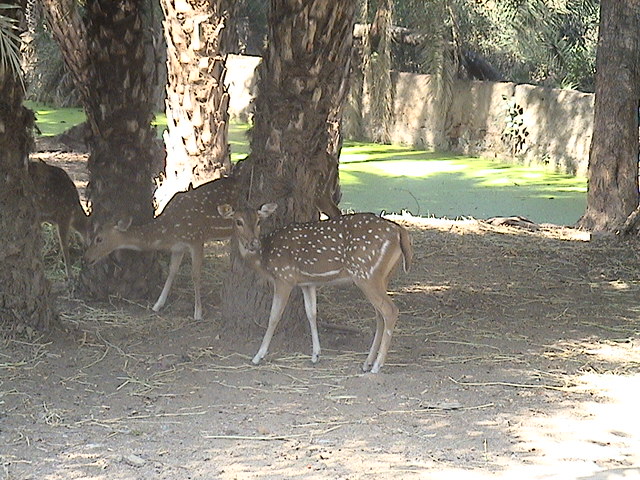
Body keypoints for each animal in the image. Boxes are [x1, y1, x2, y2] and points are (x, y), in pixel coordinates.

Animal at [82, 176, 238, 318]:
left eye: (99, 238)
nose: (87, 258)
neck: (168, 232)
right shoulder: (178, 247)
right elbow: (172, 271)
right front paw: (157, 305)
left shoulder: (196, 238)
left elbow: (195, 275)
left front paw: (198, 313)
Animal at [218, 202, 412, 376]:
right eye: (238, 221)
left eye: (258, 221)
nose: (253, 243)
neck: (265, 259)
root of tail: (399, 231)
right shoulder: (307, 283)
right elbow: (311, 313)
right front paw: (316, 355)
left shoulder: (284, 277)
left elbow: (274, 317)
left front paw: (258, 356)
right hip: (382, 276)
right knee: (380, 315)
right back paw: (367, 363)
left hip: (366, 273)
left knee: (390, 310)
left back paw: (377, 365)